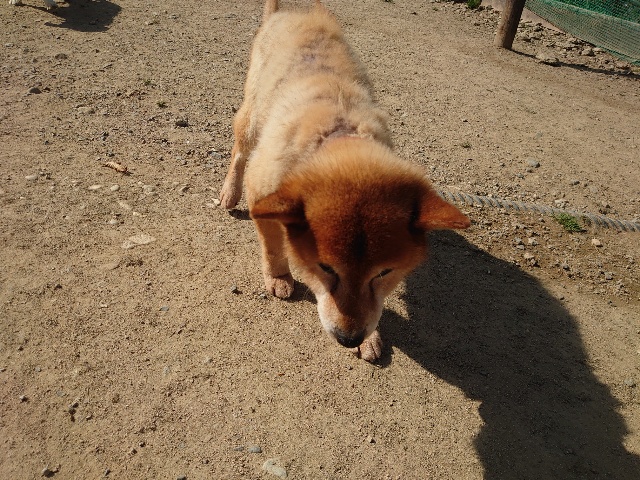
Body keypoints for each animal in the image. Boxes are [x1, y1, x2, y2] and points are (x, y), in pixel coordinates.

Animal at [219, 0, 470, 362]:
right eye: (325, 268)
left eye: (383, 273)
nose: (349, 339)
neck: (338, 133)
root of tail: (288, 12)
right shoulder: (262, 194)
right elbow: (273, 247)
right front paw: (279, 276)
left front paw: (371, 337)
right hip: (252, 116)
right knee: (239, 151)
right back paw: (228, 192)